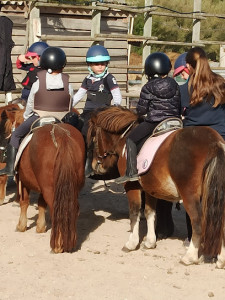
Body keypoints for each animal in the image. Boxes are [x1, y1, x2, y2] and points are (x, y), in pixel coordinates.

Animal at [0, 104, 85, 252]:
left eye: (14, 126)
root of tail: (62, 137)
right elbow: (41, 203)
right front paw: (40, 226)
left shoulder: (23, 180)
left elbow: (24, 202)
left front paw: (21, 225)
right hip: (71, 187)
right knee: (73, 209)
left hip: (51, 189)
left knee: (57, 210)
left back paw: (58, 245)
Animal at [87, 105, 225, 268]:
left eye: (94, 138)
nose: (96, 166)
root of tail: (214, 143)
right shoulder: (150, 188)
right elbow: (149, 212)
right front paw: (150, 242)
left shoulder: (131, 186)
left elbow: (134, 211)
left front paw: (131, 243)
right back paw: (221, 260)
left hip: (190, 196)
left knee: (197, 222)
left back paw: (189, 257)